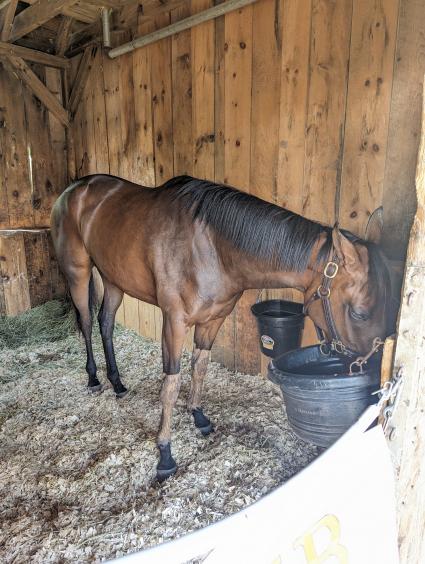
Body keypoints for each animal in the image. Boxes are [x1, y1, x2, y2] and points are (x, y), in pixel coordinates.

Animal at [50, 176, 390, 480]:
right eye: (359, 313)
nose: (367, 366)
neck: (210, 248)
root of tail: (72, 190)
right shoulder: (174, 323)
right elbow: (170, 386)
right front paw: (165, 454)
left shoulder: (213, 320)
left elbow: (200, 367)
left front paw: (199, 417)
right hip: (78, 273)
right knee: (87, 322)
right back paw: (94, 379)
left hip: (113, 279)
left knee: (106, 323)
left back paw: (117, 382)